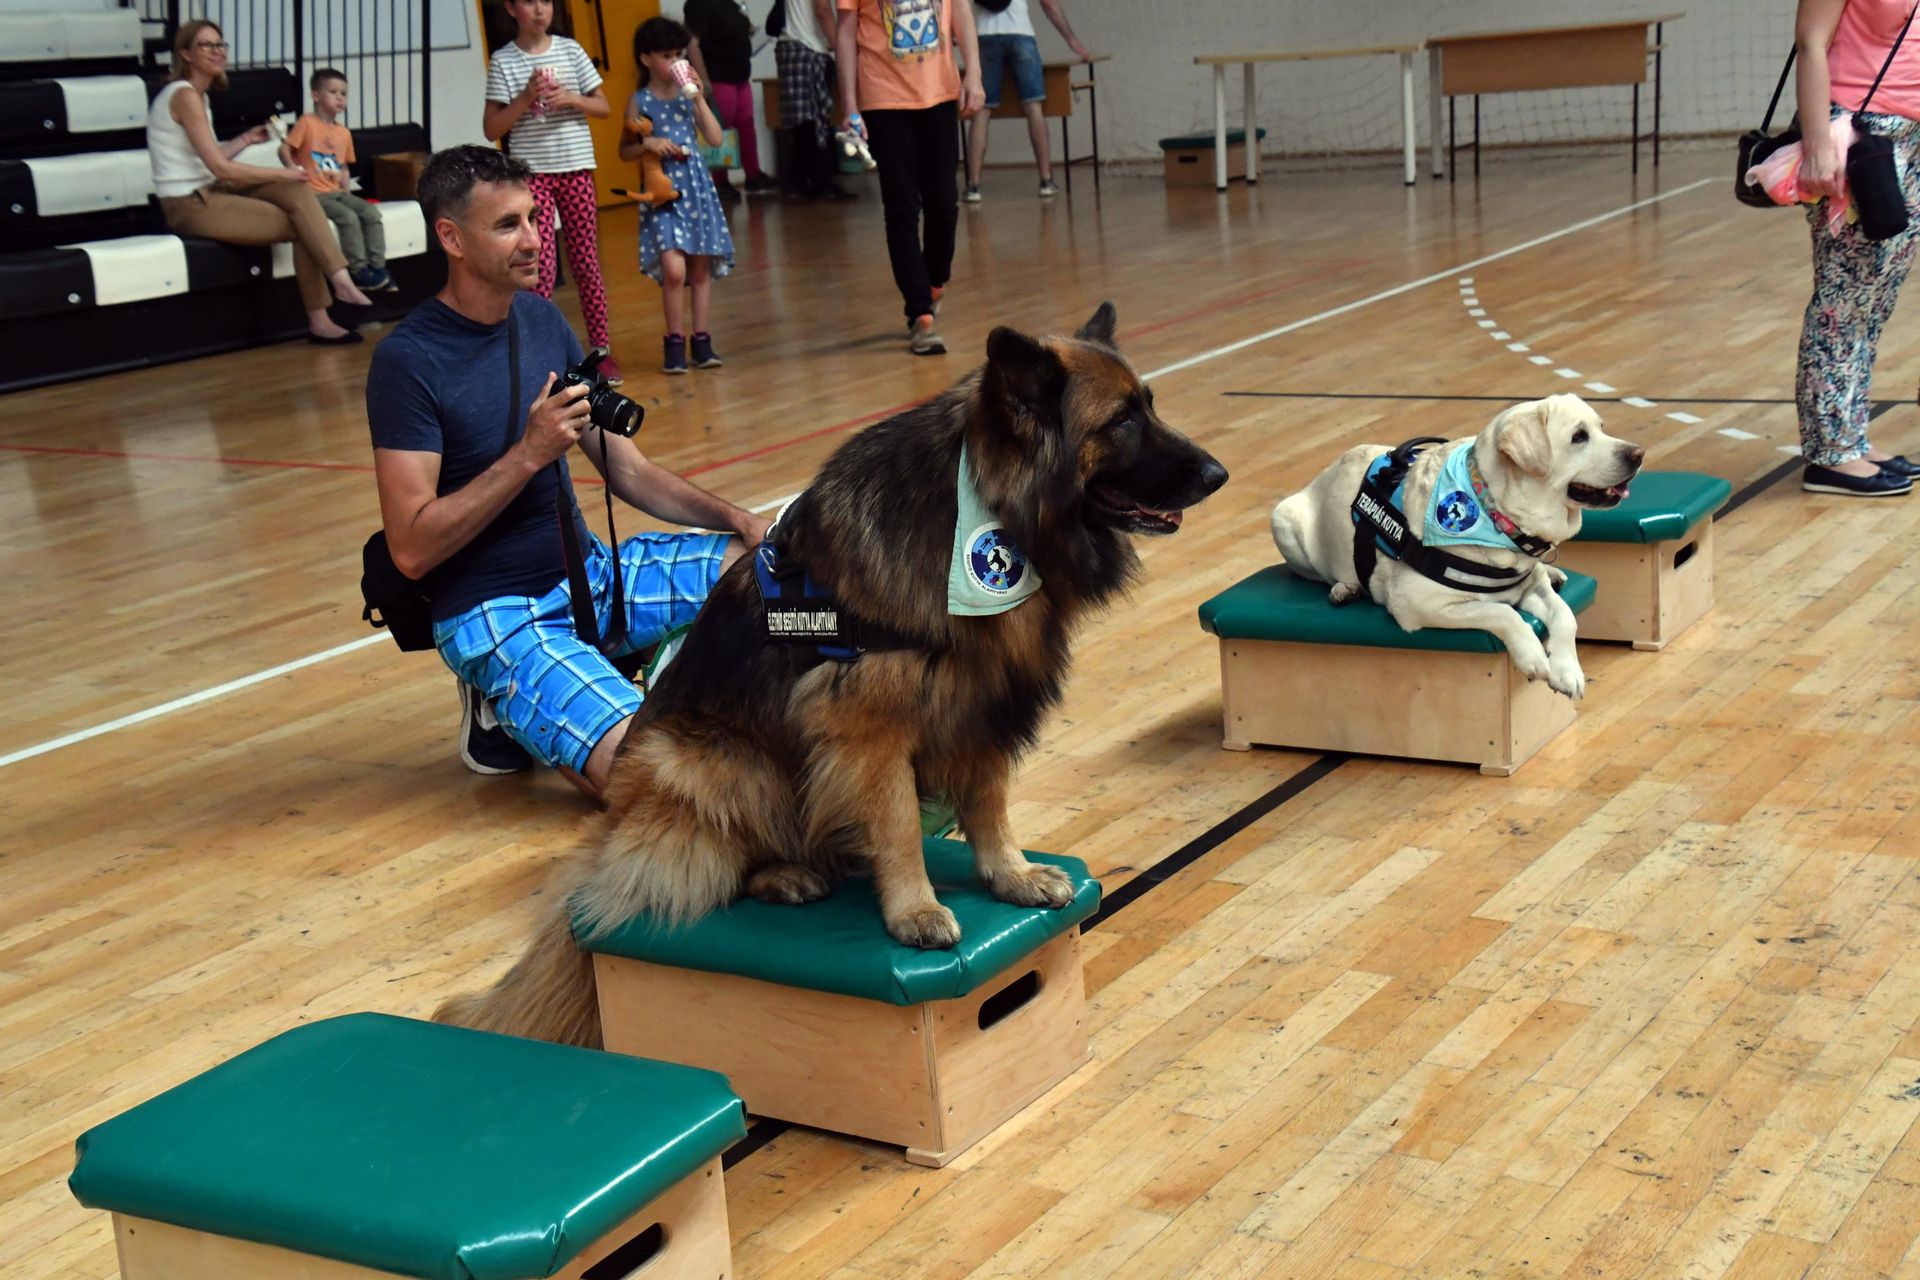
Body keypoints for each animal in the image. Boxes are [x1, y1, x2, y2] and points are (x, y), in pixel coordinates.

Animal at [436, 303, 1228, 1048]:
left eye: (1149, 405)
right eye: (1122, 421)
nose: (1217, 475)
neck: (984, 506)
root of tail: (608, 844)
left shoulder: (981, 697)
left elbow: (988, 801)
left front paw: (1008, 874)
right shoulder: (867, 727)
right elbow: (900, 823)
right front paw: (915, 909)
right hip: (711, 759)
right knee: (709, 866)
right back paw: (786, 874)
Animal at [1269, 393, 1642, 700]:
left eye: (1601, 427)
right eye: (1579, 436)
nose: (1638, 454)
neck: (1494, 513)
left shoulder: (1530, 585)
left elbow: (1565, 616)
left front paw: (1568, 671)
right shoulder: (1416, 603)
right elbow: (1502, 612)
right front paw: (1534, 655)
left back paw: (1552, 570)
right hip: (1283, 520)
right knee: (1318, 575)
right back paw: (1344, 588)